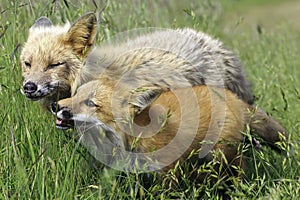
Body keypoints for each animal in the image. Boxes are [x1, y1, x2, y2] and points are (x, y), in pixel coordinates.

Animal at [51, 77, 288, 184]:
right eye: (75, 95)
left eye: (91, 104)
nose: (56, 106)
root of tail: (233, 98)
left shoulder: (168, 171)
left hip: (222, 156)